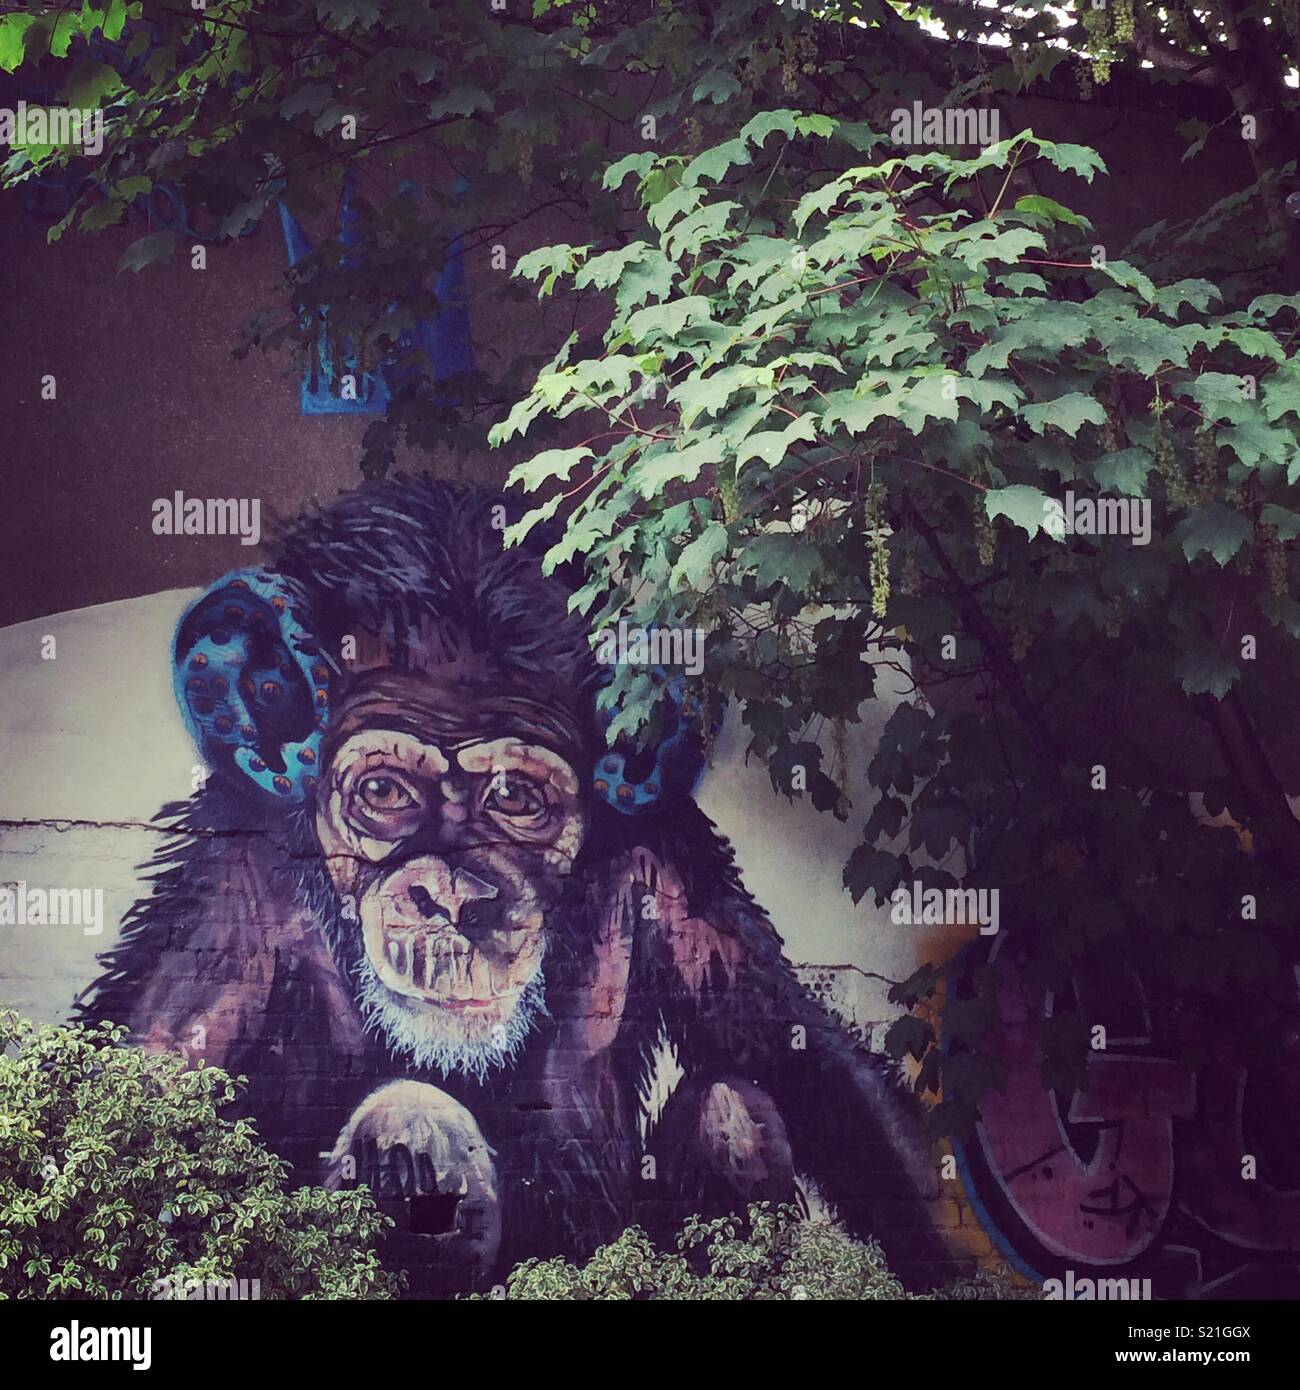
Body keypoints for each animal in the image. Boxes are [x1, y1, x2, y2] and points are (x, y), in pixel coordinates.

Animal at [78, 476, 959, 1295]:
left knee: (733, 1107)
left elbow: (799, 1053)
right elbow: (149, 1096)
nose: (454, 895)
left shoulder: (672, 855)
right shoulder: (228, 895)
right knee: (412, 1117)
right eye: (386, 793)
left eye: (515, 799)